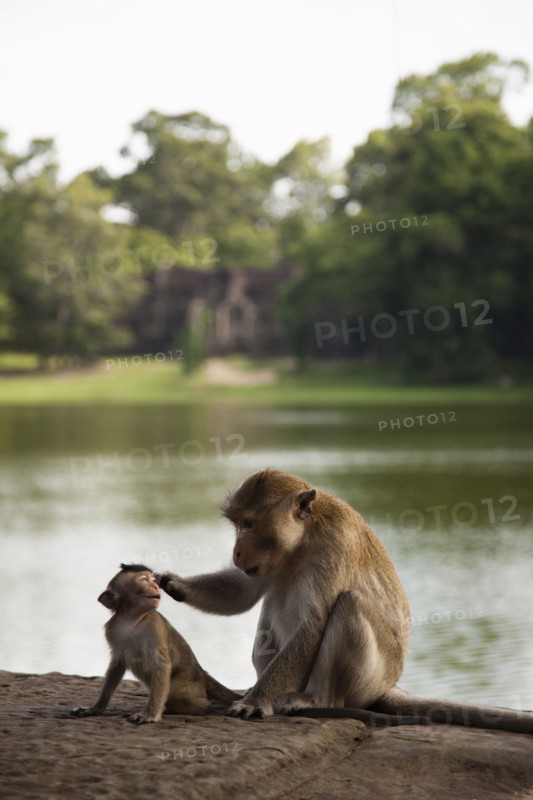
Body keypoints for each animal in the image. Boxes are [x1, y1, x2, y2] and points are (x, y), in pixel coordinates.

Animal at [70, 564, 239, 724]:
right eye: (144, 580)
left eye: (154, 580)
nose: (155, 586)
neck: (132, 619)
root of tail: (202, 672)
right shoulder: (112, 629)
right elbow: (117, 664)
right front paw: (96, 707)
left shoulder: (154, 624)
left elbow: (161, 664)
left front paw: (150, 715)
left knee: (177, 695)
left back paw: (203, 705)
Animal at [158, 469, 533, 734]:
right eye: (237, 525)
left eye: (249, 524)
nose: (236, 551)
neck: (302, 542)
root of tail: (390, 683)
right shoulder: (268, 561)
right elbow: (242, 592)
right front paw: (173, 584)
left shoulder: (335, 545)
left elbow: (313, 627)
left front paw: (256, 702)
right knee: (273, 600)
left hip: (375, 673)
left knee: (350, 604)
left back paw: (311, 699)